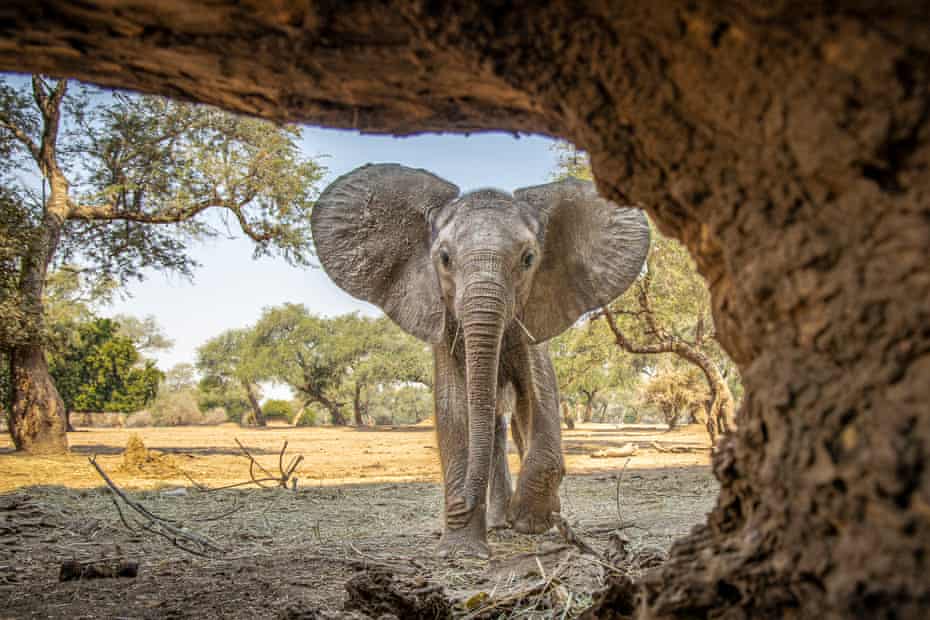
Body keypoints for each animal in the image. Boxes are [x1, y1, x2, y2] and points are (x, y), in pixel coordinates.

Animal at [311, 164, 649, 558]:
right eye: (444, 259)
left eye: (528, 259)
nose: (466, 502)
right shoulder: (444, 323)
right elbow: (454, 407)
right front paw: (461, 550)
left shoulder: (533, 322)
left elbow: (539, 397)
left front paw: (529, 521)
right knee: (495, 426)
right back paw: (498, 521)